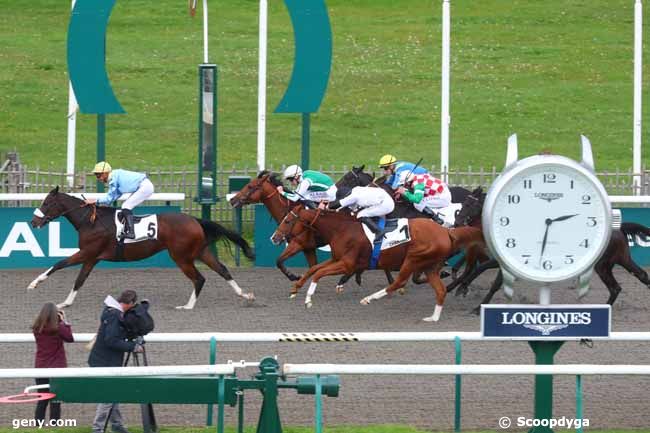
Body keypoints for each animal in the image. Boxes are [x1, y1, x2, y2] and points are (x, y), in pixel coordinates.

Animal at [29, 187, 253, 308]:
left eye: (47, 203)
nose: (33, 222)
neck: (90, 221)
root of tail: (194, 220)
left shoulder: (87, 252)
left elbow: (59, 263)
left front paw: (34, 283)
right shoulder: (92, 257)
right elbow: (79, 280)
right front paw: (65, 303)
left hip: (181, 256)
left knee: (199, 278)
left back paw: (187, 306)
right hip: (200, 251)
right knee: (222, 269)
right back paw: (245, 294)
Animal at [268, 203, 480, 320]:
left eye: (288, 221)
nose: (275, 237)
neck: (341, 229)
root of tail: (446, 231)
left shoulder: (348, 264)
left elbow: (318, 273)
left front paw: (308, 299)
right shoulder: (337, 258)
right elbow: (314, 269)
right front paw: (295, 289)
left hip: (414, 258)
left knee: (399, 282)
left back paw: (368, 299)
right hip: (429, 265)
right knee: (440, 290)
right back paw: (433, 317)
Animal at [450, 187, 648, 312]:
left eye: (469, 205)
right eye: (462, 204)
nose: (457, 222)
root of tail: (618, 228)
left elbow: (488, 277)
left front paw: (472, 299)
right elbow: (482, 271)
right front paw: (463, 290)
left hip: (606, 263)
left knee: (621, 285)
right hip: (616, 261)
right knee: (630, 281)